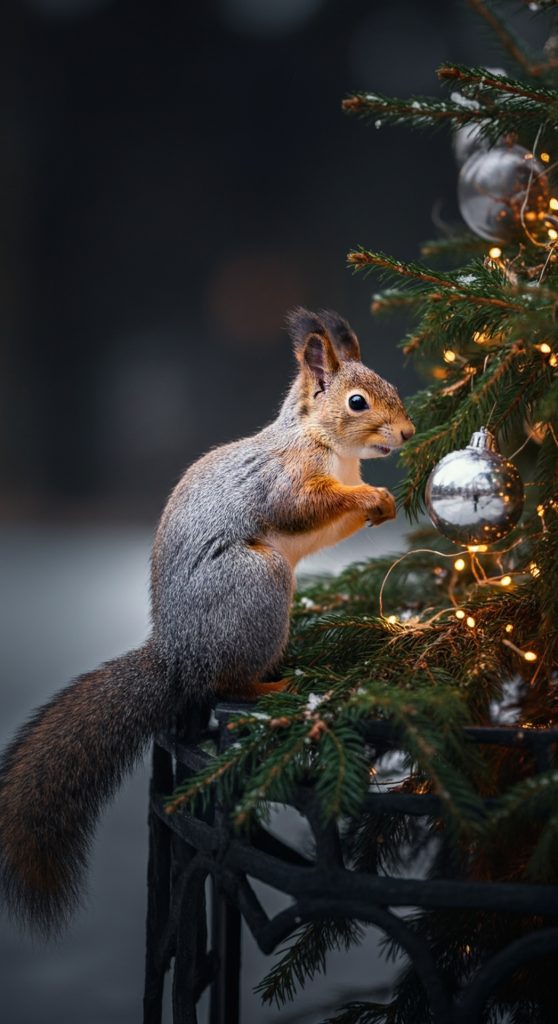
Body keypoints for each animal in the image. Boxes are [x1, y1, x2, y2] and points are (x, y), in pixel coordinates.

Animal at [0, 305, 413, 937]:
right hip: (256, 584)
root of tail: (178, 657)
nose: (410, 434)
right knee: (226, 684)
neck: (320, 442)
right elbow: (304, 506)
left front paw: (380, 502)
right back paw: (273, 685)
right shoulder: (284, 480)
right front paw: (369, 497)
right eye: (358, 402)